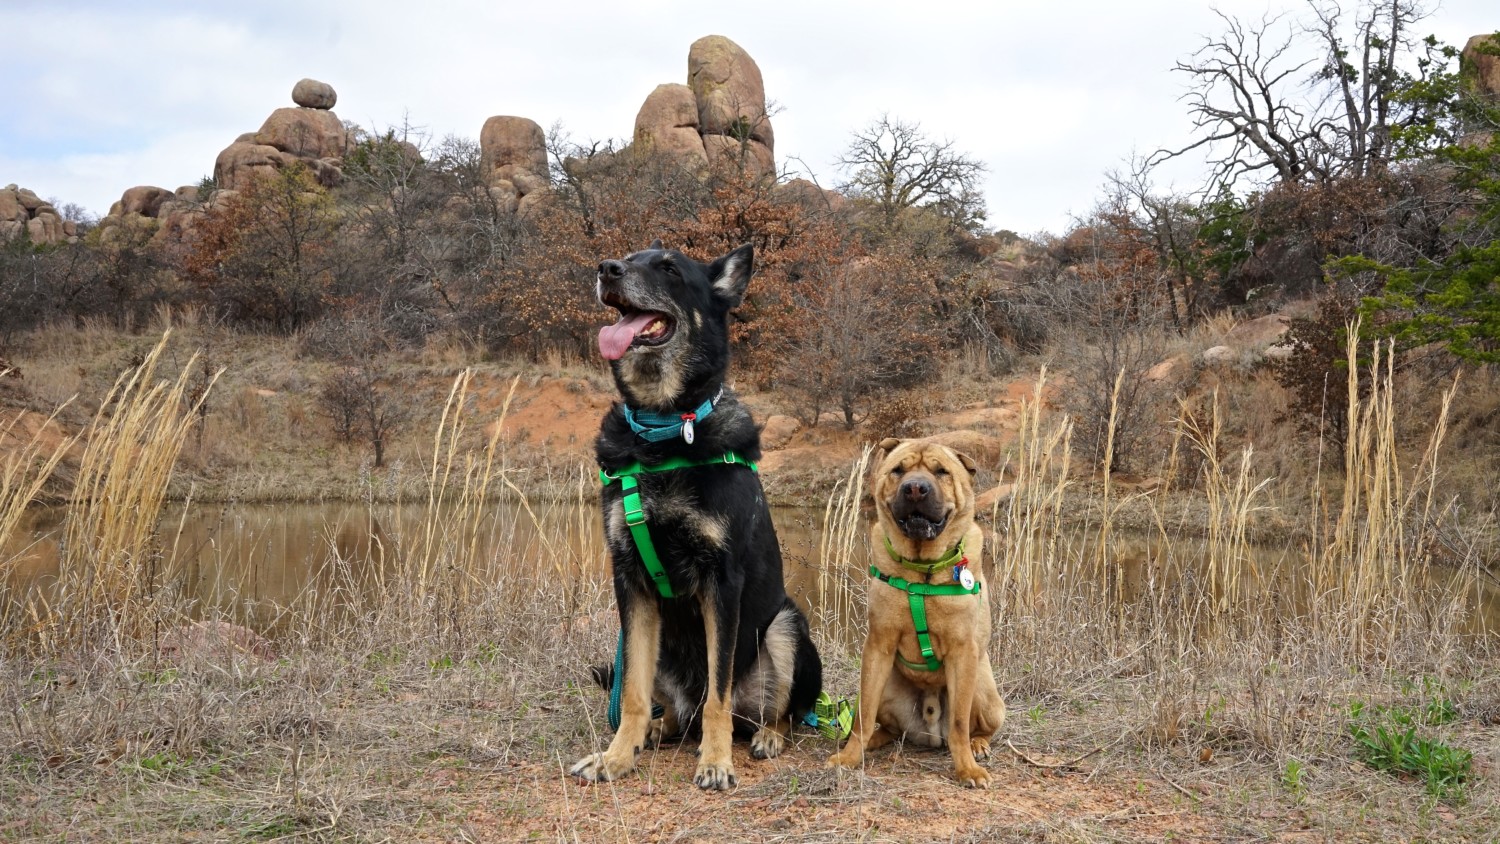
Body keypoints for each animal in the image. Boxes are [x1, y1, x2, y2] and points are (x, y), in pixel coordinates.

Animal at [567, 239, 822, 791]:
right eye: (626, 257)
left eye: (669, 268)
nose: (606, 270)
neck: (662, 432)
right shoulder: (630, 579)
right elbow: (633, 692)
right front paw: (615, 756)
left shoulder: (721, 582)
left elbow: (718, 696)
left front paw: (716, 761)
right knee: (670, 711)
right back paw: (651, 734)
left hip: (786, 625)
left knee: (778, 711)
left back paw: (765, 737)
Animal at [834, 440, 1008, 791]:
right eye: (898, 470)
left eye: (941, 472)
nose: (915, 488)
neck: (921, 571)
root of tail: (929, 731)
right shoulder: (878, 645)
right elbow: (862, 716)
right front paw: (849, 757)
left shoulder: (963, 651)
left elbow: (959, 724)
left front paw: (967, 769)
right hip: (887, 686)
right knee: (884, 724)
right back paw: (874, 740)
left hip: (985, 692)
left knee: (976, 728)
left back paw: (978, 745)